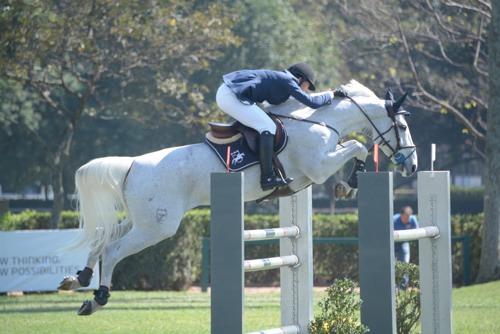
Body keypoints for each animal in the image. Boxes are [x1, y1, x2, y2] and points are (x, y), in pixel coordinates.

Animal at [58, 79, 418, 314]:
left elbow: (355, 146)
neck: (320, 121)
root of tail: (132, 164)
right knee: (113, 249)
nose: (412, 165)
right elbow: (358, 146)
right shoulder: (318, 167)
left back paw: (78, 278)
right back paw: (97, 298)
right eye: (401, 126)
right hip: (157, 227)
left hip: (143, 220)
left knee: (103, 238)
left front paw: (347, 184)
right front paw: (348, 184)